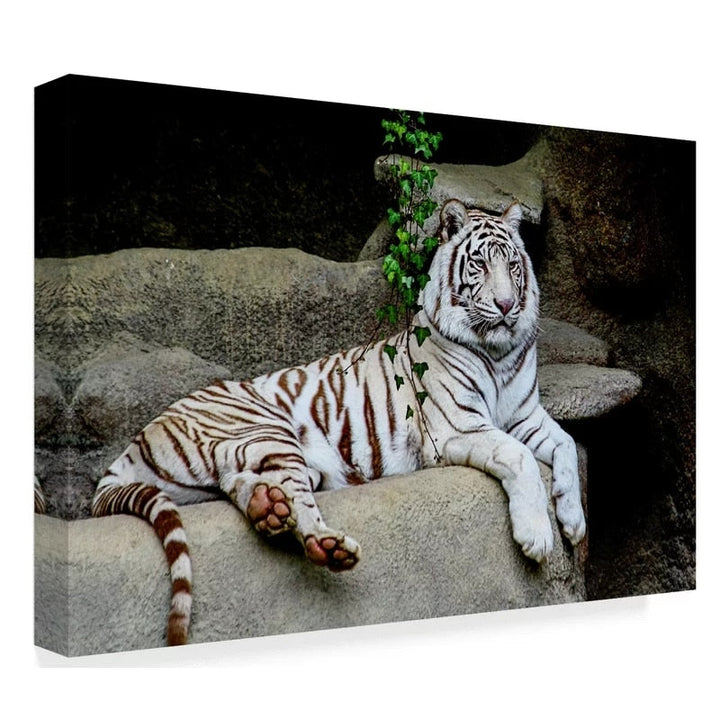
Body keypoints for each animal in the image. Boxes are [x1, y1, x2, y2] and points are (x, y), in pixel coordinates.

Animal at [91, 198, 586, 646]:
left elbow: (565, 443)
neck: (499, 352)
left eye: (514, 266)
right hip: (268, 430)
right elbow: (520, 457)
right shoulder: (458, 426)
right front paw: (538, 536)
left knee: (241, 482)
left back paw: (266, 507)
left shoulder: (526, 415)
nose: (506, 305)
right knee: (298, 502)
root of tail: (137, 439)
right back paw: (324, 542)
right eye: (481, 264)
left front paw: (573, 521)